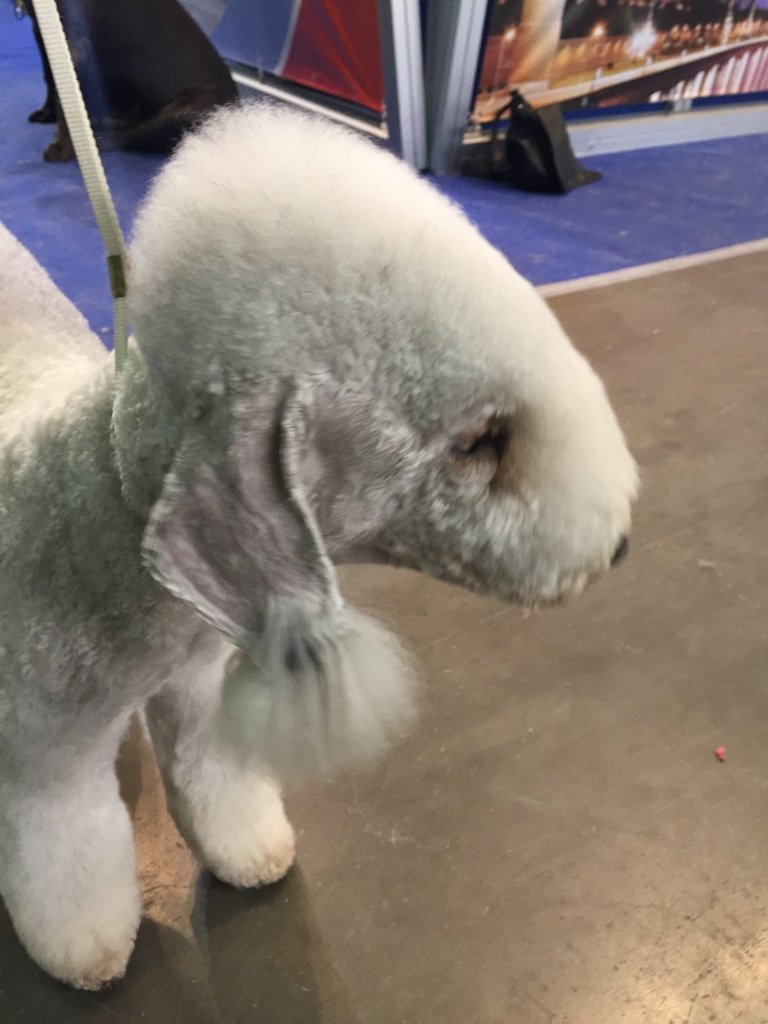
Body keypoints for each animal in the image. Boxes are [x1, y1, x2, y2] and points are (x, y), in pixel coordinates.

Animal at [0, 104, 637, 989]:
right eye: (478, 442)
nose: (618, 544)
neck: (101, 496)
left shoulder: (199, 688)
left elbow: (216, 777)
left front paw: (249, 849)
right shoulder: (45, 760)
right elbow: (67, 854)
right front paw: (86, 949)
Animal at [20, 0, 237, 161]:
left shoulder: (73, 44)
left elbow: (66, 98)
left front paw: (66, 146)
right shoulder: (42, 29)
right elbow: (51, 78)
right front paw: (47, 113)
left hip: (189, 107)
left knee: (131, 137)